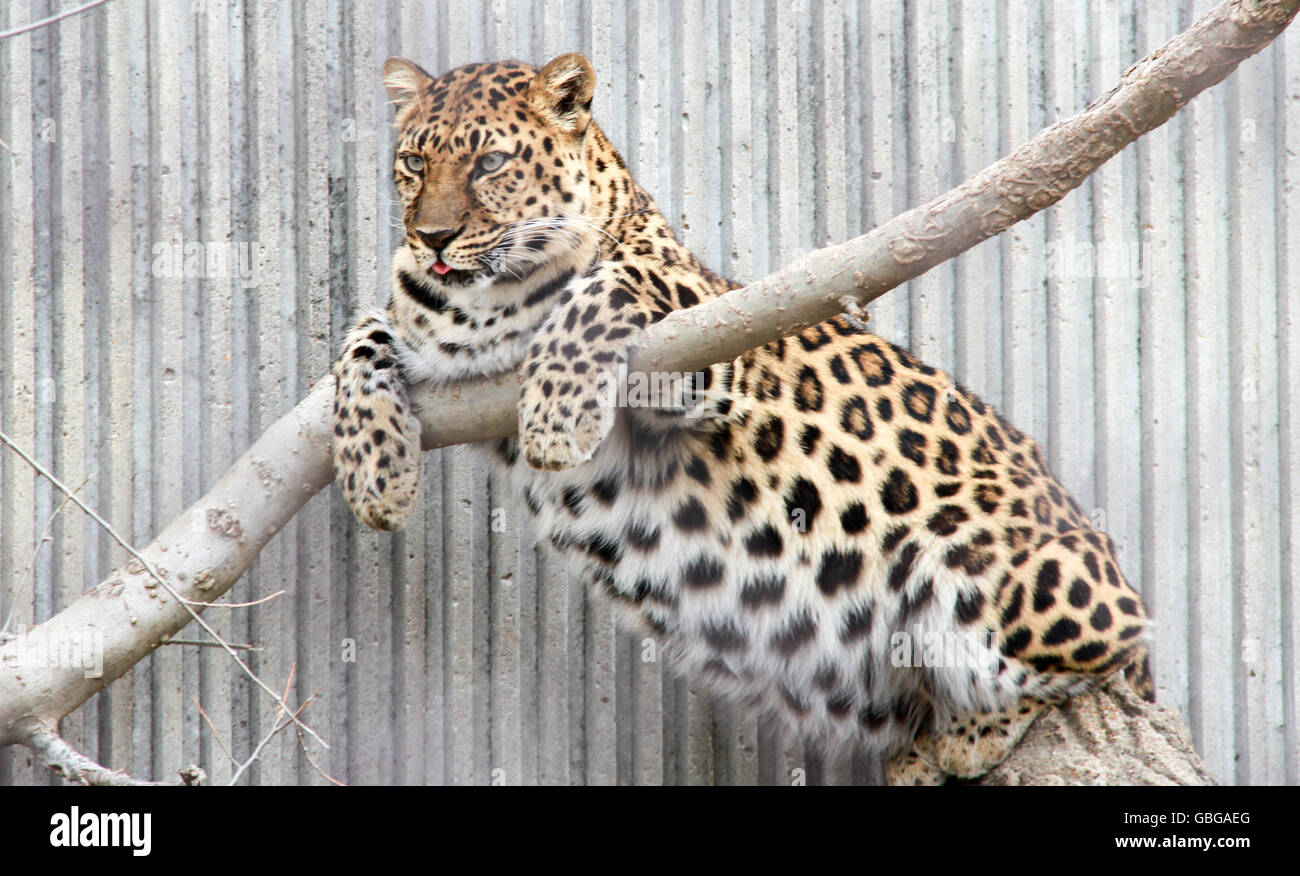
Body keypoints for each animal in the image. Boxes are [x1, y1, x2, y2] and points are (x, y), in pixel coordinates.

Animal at [330, 52, 1154, 785]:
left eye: (491, 163)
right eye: (413, 162)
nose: (432, 238)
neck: (480, 305)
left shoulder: (707, 337)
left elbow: (604, 284)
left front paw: (556, 418)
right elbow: (359, 339)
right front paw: (374, 477)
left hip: (981, 561)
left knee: (1104, 654)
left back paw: (970, 732)